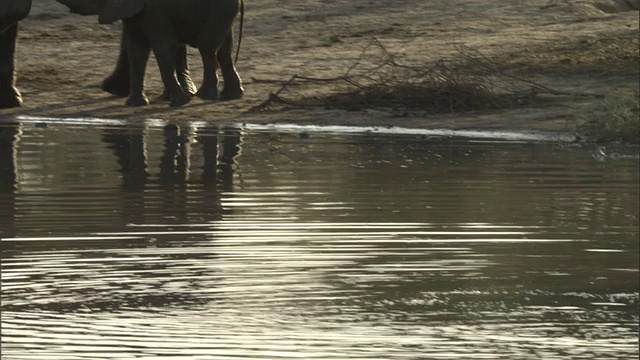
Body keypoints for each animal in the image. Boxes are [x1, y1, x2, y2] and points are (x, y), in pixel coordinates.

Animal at [57, 0, 244, 107]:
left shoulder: (156, 13)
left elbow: (164, 47)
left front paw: (180, 102)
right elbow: (137, 51)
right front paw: (134, 104)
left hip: (219, 10)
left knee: (208, 46)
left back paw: (206, 96)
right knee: (224, 49)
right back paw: (230, 96)